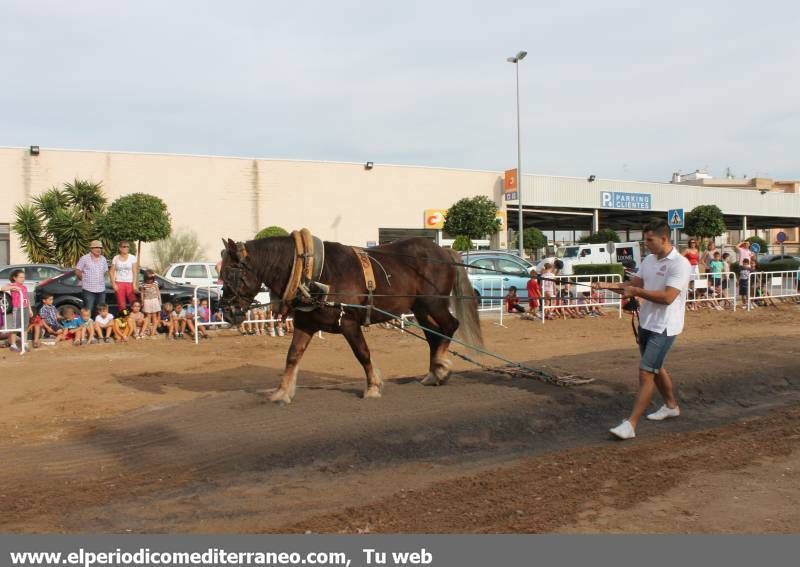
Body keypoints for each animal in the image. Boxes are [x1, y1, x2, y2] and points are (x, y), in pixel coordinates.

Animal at [217, 234, 482, 404]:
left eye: (230, 273)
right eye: (220, 273)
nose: (227, 311)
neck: (314, 273)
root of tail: (443, 251)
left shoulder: (349, 322)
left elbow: (362, 353)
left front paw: (373, 386)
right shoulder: (305, 324)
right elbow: (292, 356)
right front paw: (282, 392)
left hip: (433, 303)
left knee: (449, 327)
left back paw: (440, 367)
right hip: (420, 309)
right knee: (434, 336)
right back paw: (433, 373)